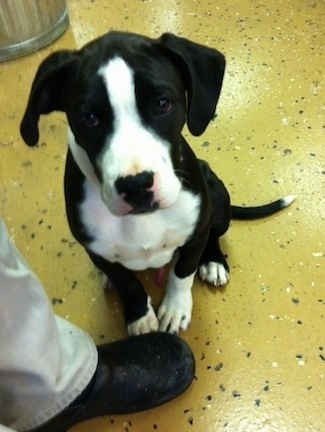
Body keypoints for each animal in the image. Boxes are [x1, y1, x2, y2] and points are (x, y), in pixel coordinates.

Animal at [20, 32, 294, 336]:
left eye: (162, 104)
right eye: (88, 118)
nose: (136, 186)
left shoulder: (196, 229)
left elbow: (183, 271)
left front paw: (175, 309)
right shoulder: (97, 249)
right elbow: (127, 283)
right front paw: (140, 318)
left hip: (217, 196)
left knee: (213, 234)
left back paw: (213, 262)